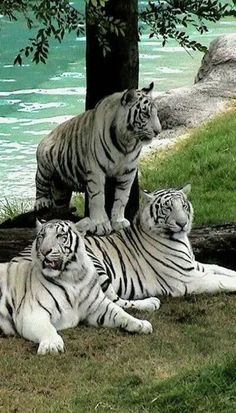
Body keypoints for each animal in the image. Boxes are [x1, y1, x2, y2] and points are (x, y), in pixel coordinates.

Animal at [0, 219, 152, 354]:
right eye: (41, 237)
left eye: (60, 236)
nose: (44, 251)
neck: (72, 278)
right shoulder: (31, 313)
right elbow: (47, 328)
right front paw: (51, 345)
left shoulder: (98, 306)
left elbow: (120, 313)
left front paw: (141, 324)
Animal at [34, 81, 162, 235]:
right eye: (145, 114)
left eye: (155, 113)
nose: (158, 131)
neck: (127, 142)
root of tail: (49, 134)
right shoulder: (96, 171)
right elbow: (98, 198)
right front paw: (100, 224)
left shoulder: (128, 172)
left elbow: (122, 198)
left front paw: (118, 221)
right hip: (45, 164)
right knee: (40, 184)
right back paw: (41, 202)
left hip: (61, 188)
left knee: (59, 203)